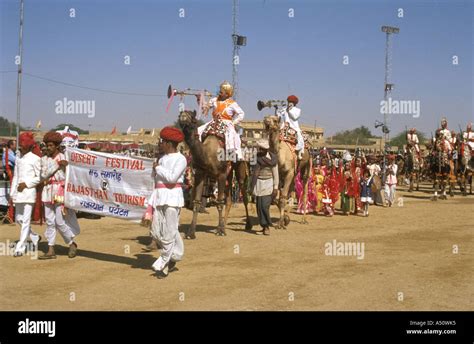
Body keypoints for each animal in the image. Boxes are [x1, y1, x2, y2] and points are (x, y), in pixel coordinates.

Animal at [178, 110, 252, 239]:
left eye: (192, 118)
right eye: (180, 114)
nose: (183, 117)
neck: (208, 154)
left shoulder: (221, 175)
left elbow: (219, 203)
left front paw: (219, 232)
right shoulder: (200, 174)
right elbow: (196, 202)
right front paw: (190, 233)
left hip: (239, 169)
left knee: (244, 196)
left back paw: (247, 224)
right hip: (228, 175)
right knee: (229, 200)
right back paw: (224, 224)